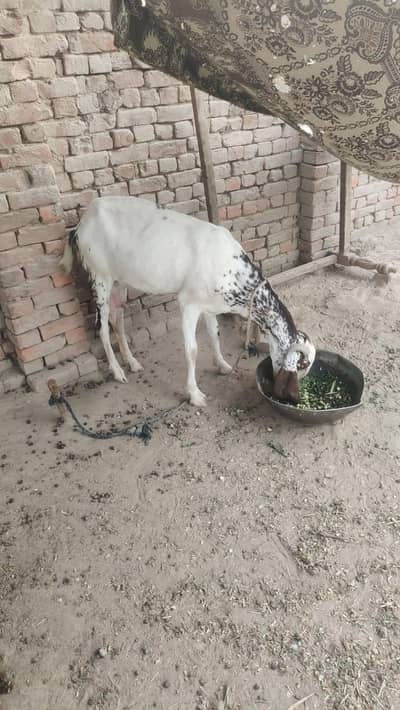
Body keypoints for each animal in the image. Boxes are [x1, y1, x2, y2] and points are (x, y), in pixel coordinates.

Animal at [60, 196, 315, 406]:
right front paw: (194, 394)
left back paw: (131, 362)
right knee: (102, 327)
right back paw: (116, 370)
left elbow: (215, 334)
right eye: (302, 364)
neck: (232, 271)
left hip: (119, 281)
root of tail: (80, 225)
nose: (295, 396)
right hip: (99, 277)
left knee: (117, 318)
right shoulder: (188, 303)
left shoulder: (210, 305)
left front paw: (223, 365)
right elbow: (191, 350)